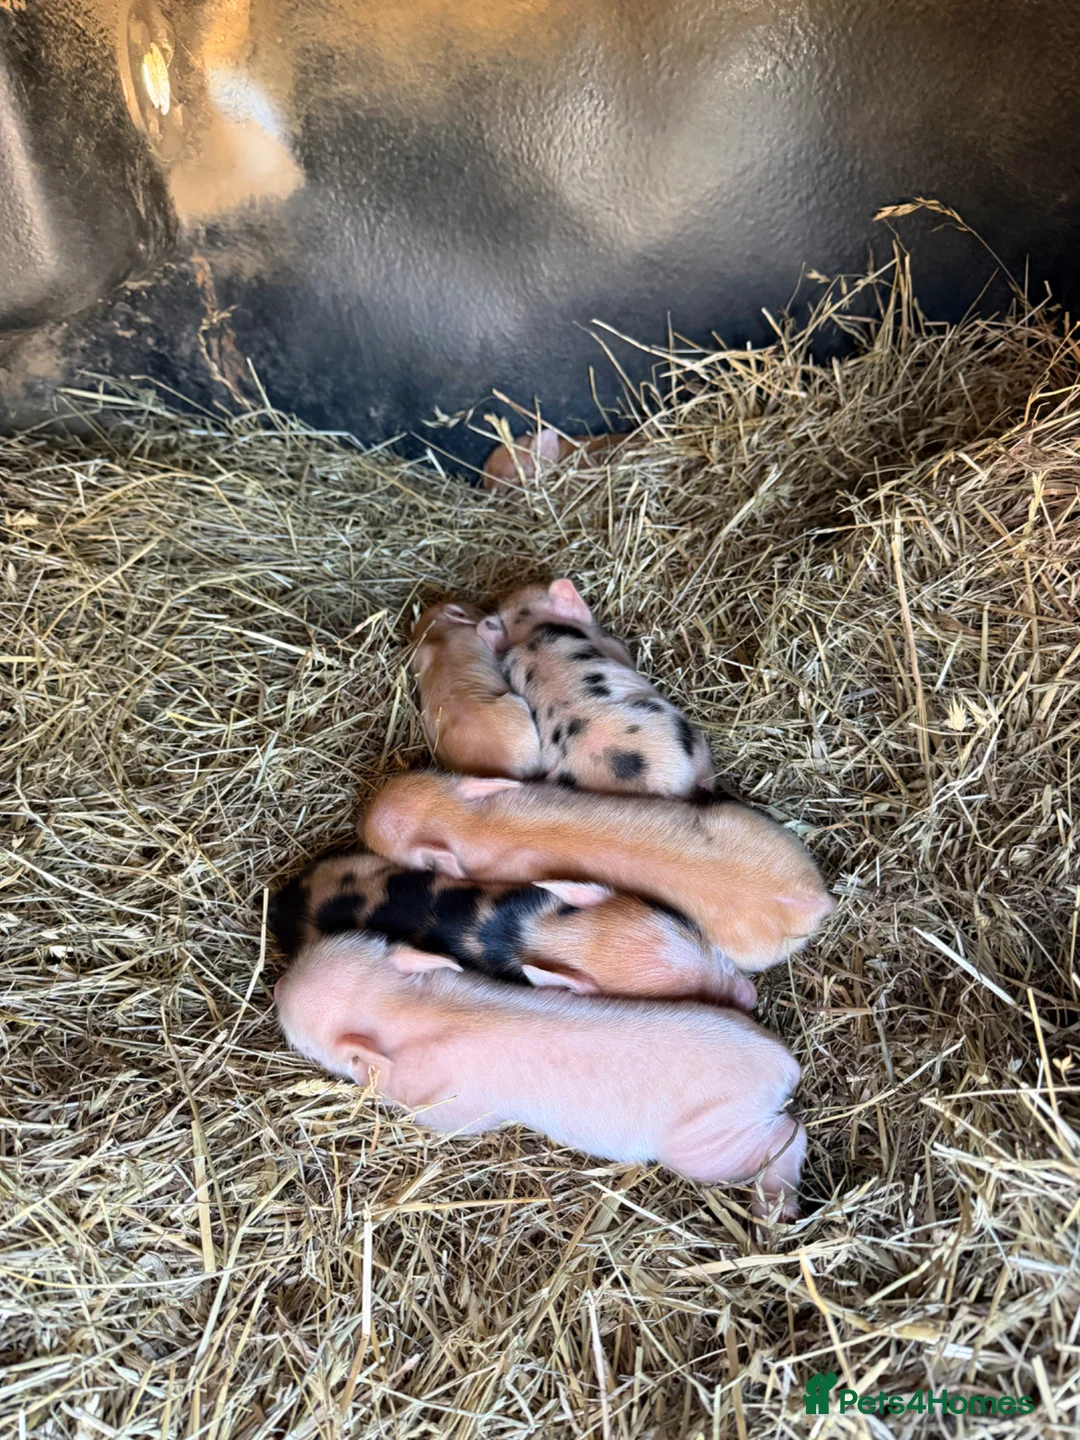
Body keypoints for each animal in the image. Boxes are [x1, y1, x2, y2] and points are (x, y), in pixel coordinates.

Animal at [275, 931, 807, 1217]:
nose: (279, 984)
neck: (400, 1008)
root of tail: (782, 1062)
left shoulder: (455, 1107)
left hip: (707, 1141)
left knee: (789, 1134)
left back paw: (774, 1209)